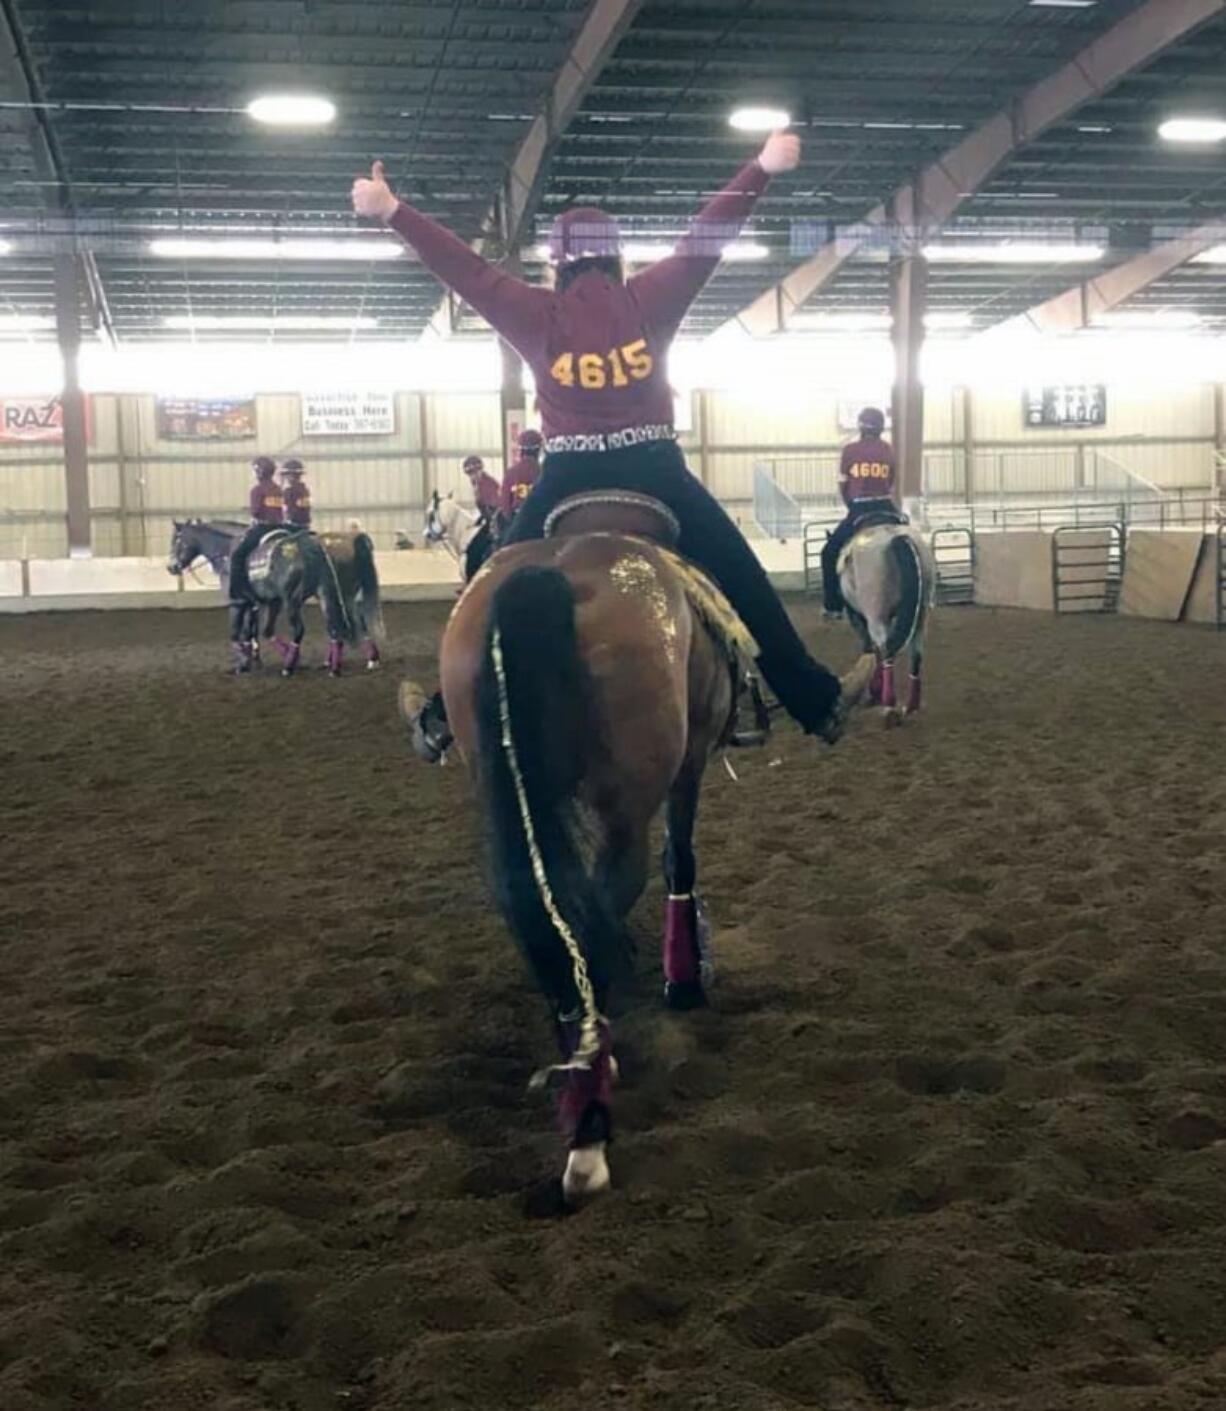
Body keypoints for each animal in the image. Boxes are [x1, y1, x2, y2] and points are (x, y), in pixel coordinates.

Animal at [163, 522, 383, 674]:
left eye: (177, 541)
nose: (171, 567)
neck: (226, 552)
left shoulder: (238, 604)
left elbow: (236, 634)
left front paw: (243, 664)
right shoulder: (265, 603)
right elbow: (259, 632)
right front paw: (253, 659)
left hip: (295, 600)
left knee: (302, 629)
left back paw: (289, 667)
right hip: (332, 596)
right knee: (342, 626)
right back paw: (351, 663)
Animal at [431, 496, 869, 1202]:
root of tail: (550, 573)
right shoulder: (687, 766)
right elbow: (679, 859)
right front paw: (682, 980)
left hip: (504, 786)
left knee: (554, 917)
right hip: (628, 804)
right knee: (605, 906)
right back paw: (590, 1131)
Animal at [829, 519, 936, 716]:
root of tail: (899, 538)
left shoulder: (859, 618)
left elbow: (870, 649)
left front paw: (874, 691)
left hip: (876, 617)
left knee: (886, 649)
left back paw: (889, 703)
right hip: (921, 616)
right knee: (915, 654)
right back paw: (911, 705)